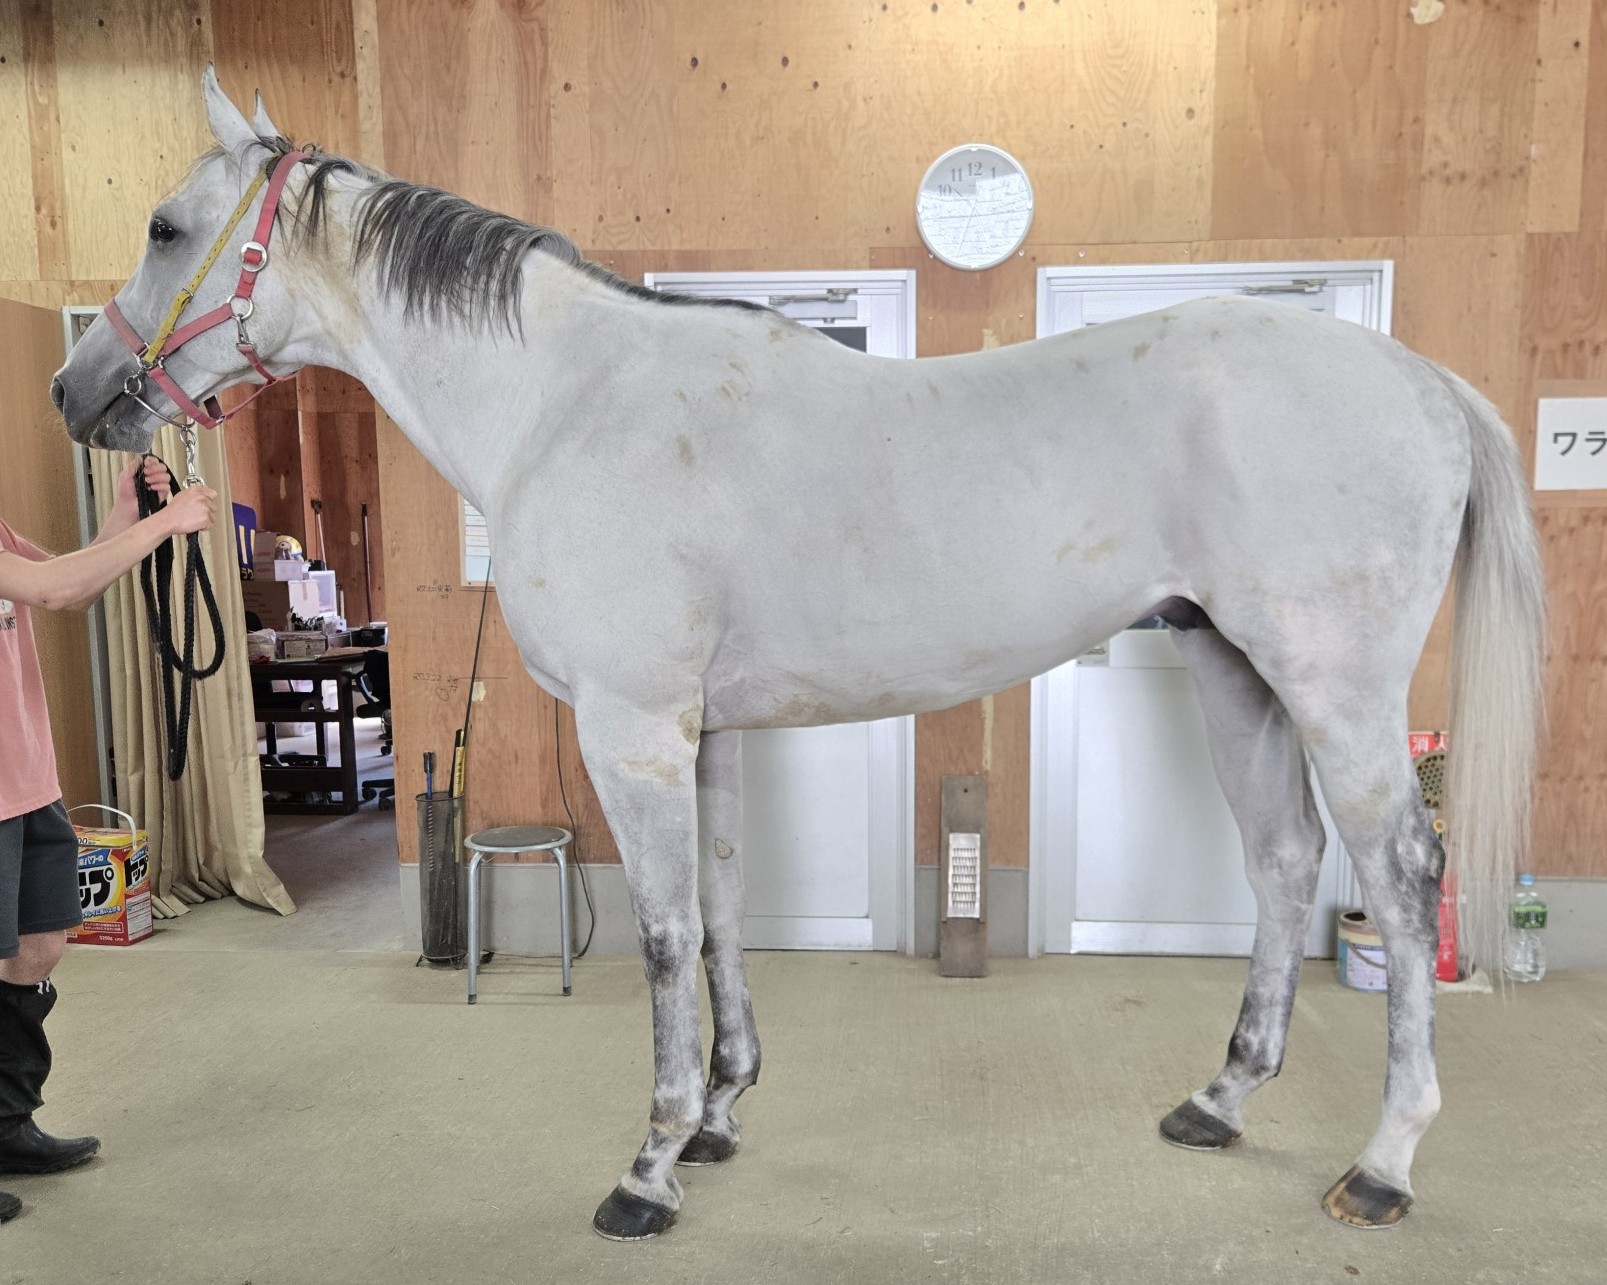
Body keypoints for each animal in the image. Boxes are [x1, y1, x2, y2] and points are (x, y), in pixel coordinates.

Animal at [52, 69, 1544, 1240]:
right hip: (1234, 674)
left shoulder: (633, 731)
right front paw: (719, 1112)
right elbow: (719, 910)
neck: (566, 402)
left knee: (1399, 880)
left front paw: (649, 1165)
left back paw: (1382, 1164)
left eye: (167, 226)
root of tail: (1420, 381)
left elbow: (660, 933)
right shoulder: (700, 735)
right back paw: (1218, 1100)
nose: (77, 393)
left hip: (1334, 694)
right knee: (1286, 862)